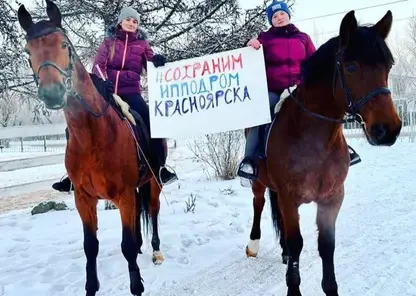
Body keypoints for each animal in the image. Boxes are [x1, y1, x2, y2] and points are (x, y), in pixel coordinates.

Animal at [16, 1, 166, 294]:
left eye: (64, 45)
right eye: (28, 51)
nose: (52, 92)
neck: (93, 136)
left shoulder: (123, 196)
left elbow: (126, 245)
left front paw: (136, 285)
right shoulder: (84, 199)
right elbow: (90, 246)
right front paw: (91, 286)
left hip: (153, 181)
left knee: (153, 213)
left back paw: (155, 251)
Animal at [245, 9, 402, 296]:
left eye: (388, 66)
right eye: (351, 67)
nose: (388, 130)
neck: (314, 139)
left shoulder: (331, 198)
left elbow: (326, 245)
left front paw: (330, 287)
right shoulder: (289, 197)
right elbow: (297, 243)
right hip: (259, 182)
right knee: (258, 203)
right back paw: (253, 245)